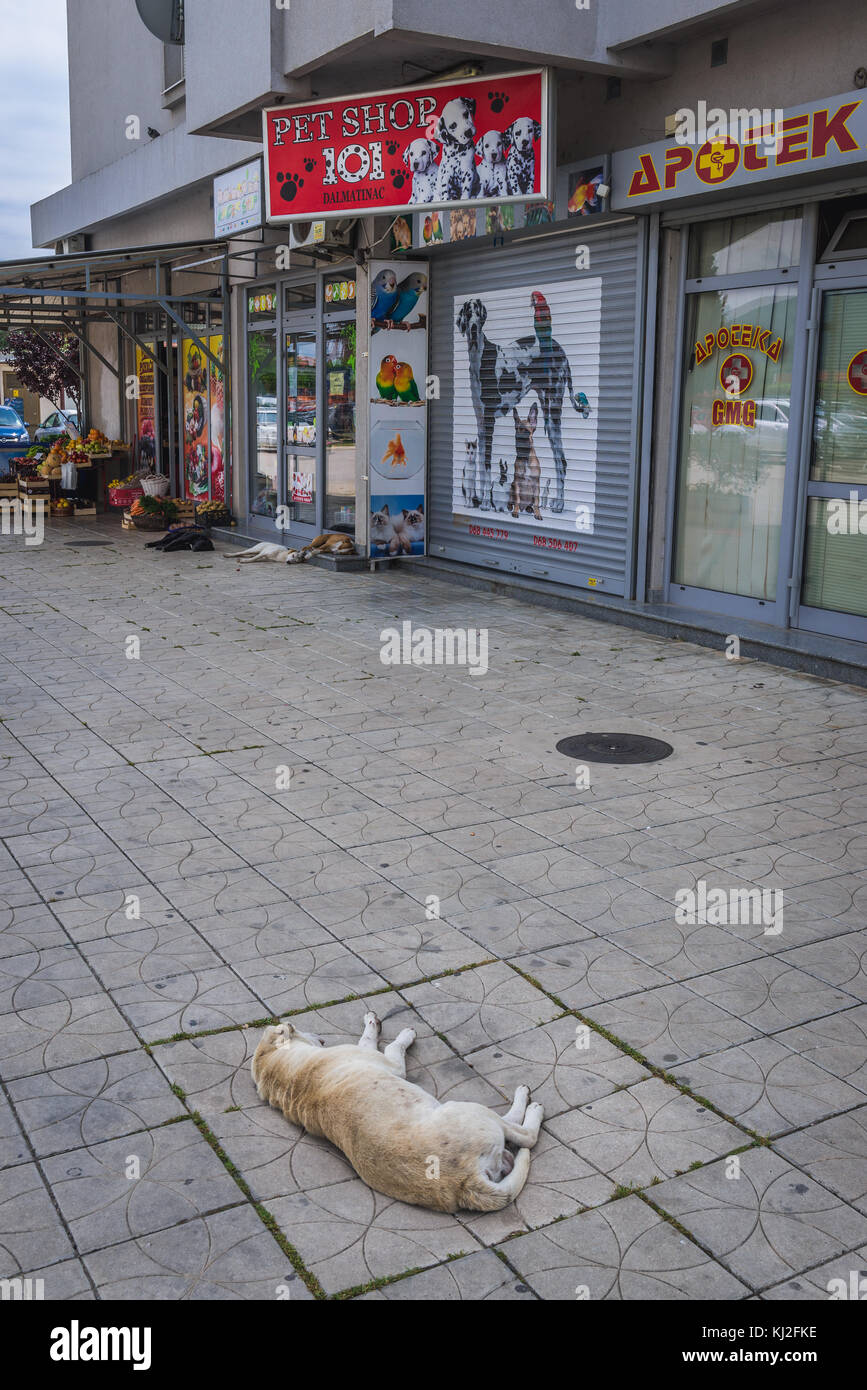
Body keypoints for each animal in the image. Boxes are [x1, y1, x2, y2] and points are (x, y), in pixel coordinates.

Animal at [250, 1011, 544, 1217]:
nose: (315, 1034)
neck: (287, 1076)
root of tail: (464, 1180)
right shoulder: (389, 1062)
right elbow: (387, 1045)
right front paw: (390, 1030)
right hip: (469, 1110)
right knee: (524, 1135)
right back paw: (529, 1104)